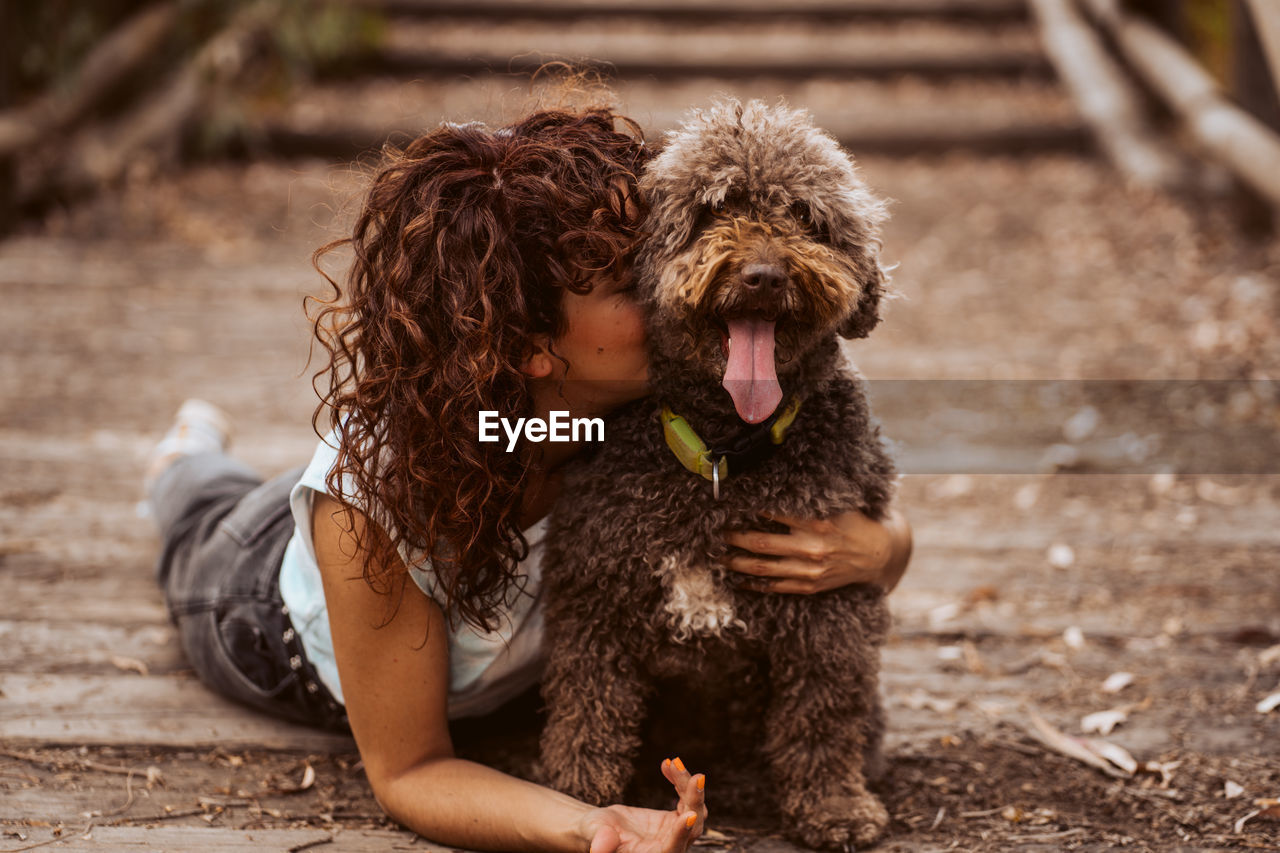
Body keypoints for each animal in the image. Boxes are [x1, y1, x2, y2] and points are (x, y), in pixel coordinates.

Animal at [542, 97, 901, 845]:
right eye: (711, 212)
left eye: (804, 215)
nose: (764, 275)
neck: (723, 454)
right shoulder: (593, 593)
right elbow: (588, 702)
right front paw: (577, 790)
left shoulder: (832, 611)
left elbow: (822, 716)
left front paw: (834, 807)